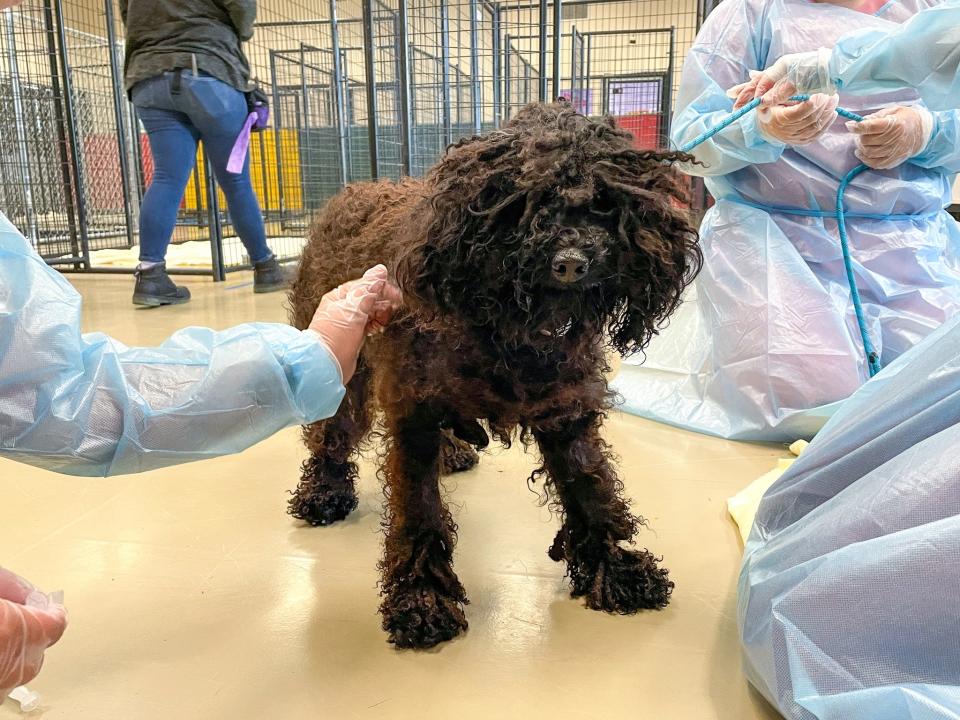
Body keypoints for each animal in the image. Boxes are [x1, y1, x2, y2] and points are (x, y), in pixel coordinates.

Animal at [284, 102, 696, 652]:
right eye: (522, 205)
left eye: (601, 203)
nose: (571, 263)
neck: (509, 327)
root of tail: (355, 189)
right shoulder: (412, 415)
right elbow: (419, 513)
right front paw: (422, 599)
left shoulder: (565, 411)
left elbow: (592, 489)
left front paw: (616, 569)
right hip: (343, 365)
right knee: (332, 432)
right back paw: (323, 492)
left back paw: (453, 452)